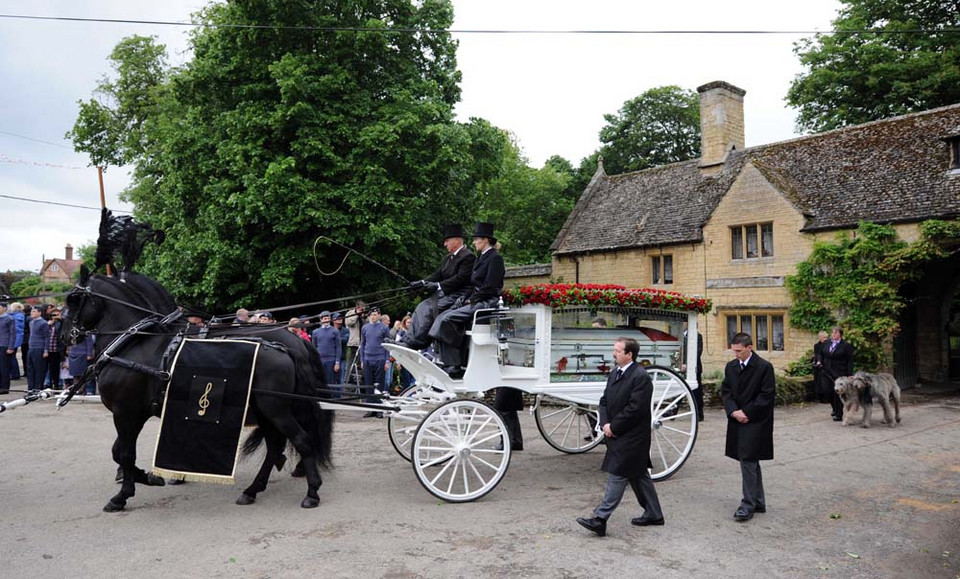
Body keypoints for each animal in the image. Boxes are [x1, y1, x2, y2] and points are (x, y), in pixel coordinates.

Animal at [62, 268, 334, 512]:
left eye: (73, 300)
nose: (65, 336)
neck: (134, 343)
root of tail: (285, 347)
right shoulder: (135, 413)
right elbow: (118, 452)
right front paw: (149, 477)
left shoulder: (126, 412)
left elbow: (126, 453)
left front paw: (123, 495)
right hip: (266, 412)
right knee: (276, 446)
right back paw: (253, 490)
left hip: (276, 409)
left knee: (302, 440)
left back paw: (311, 492)